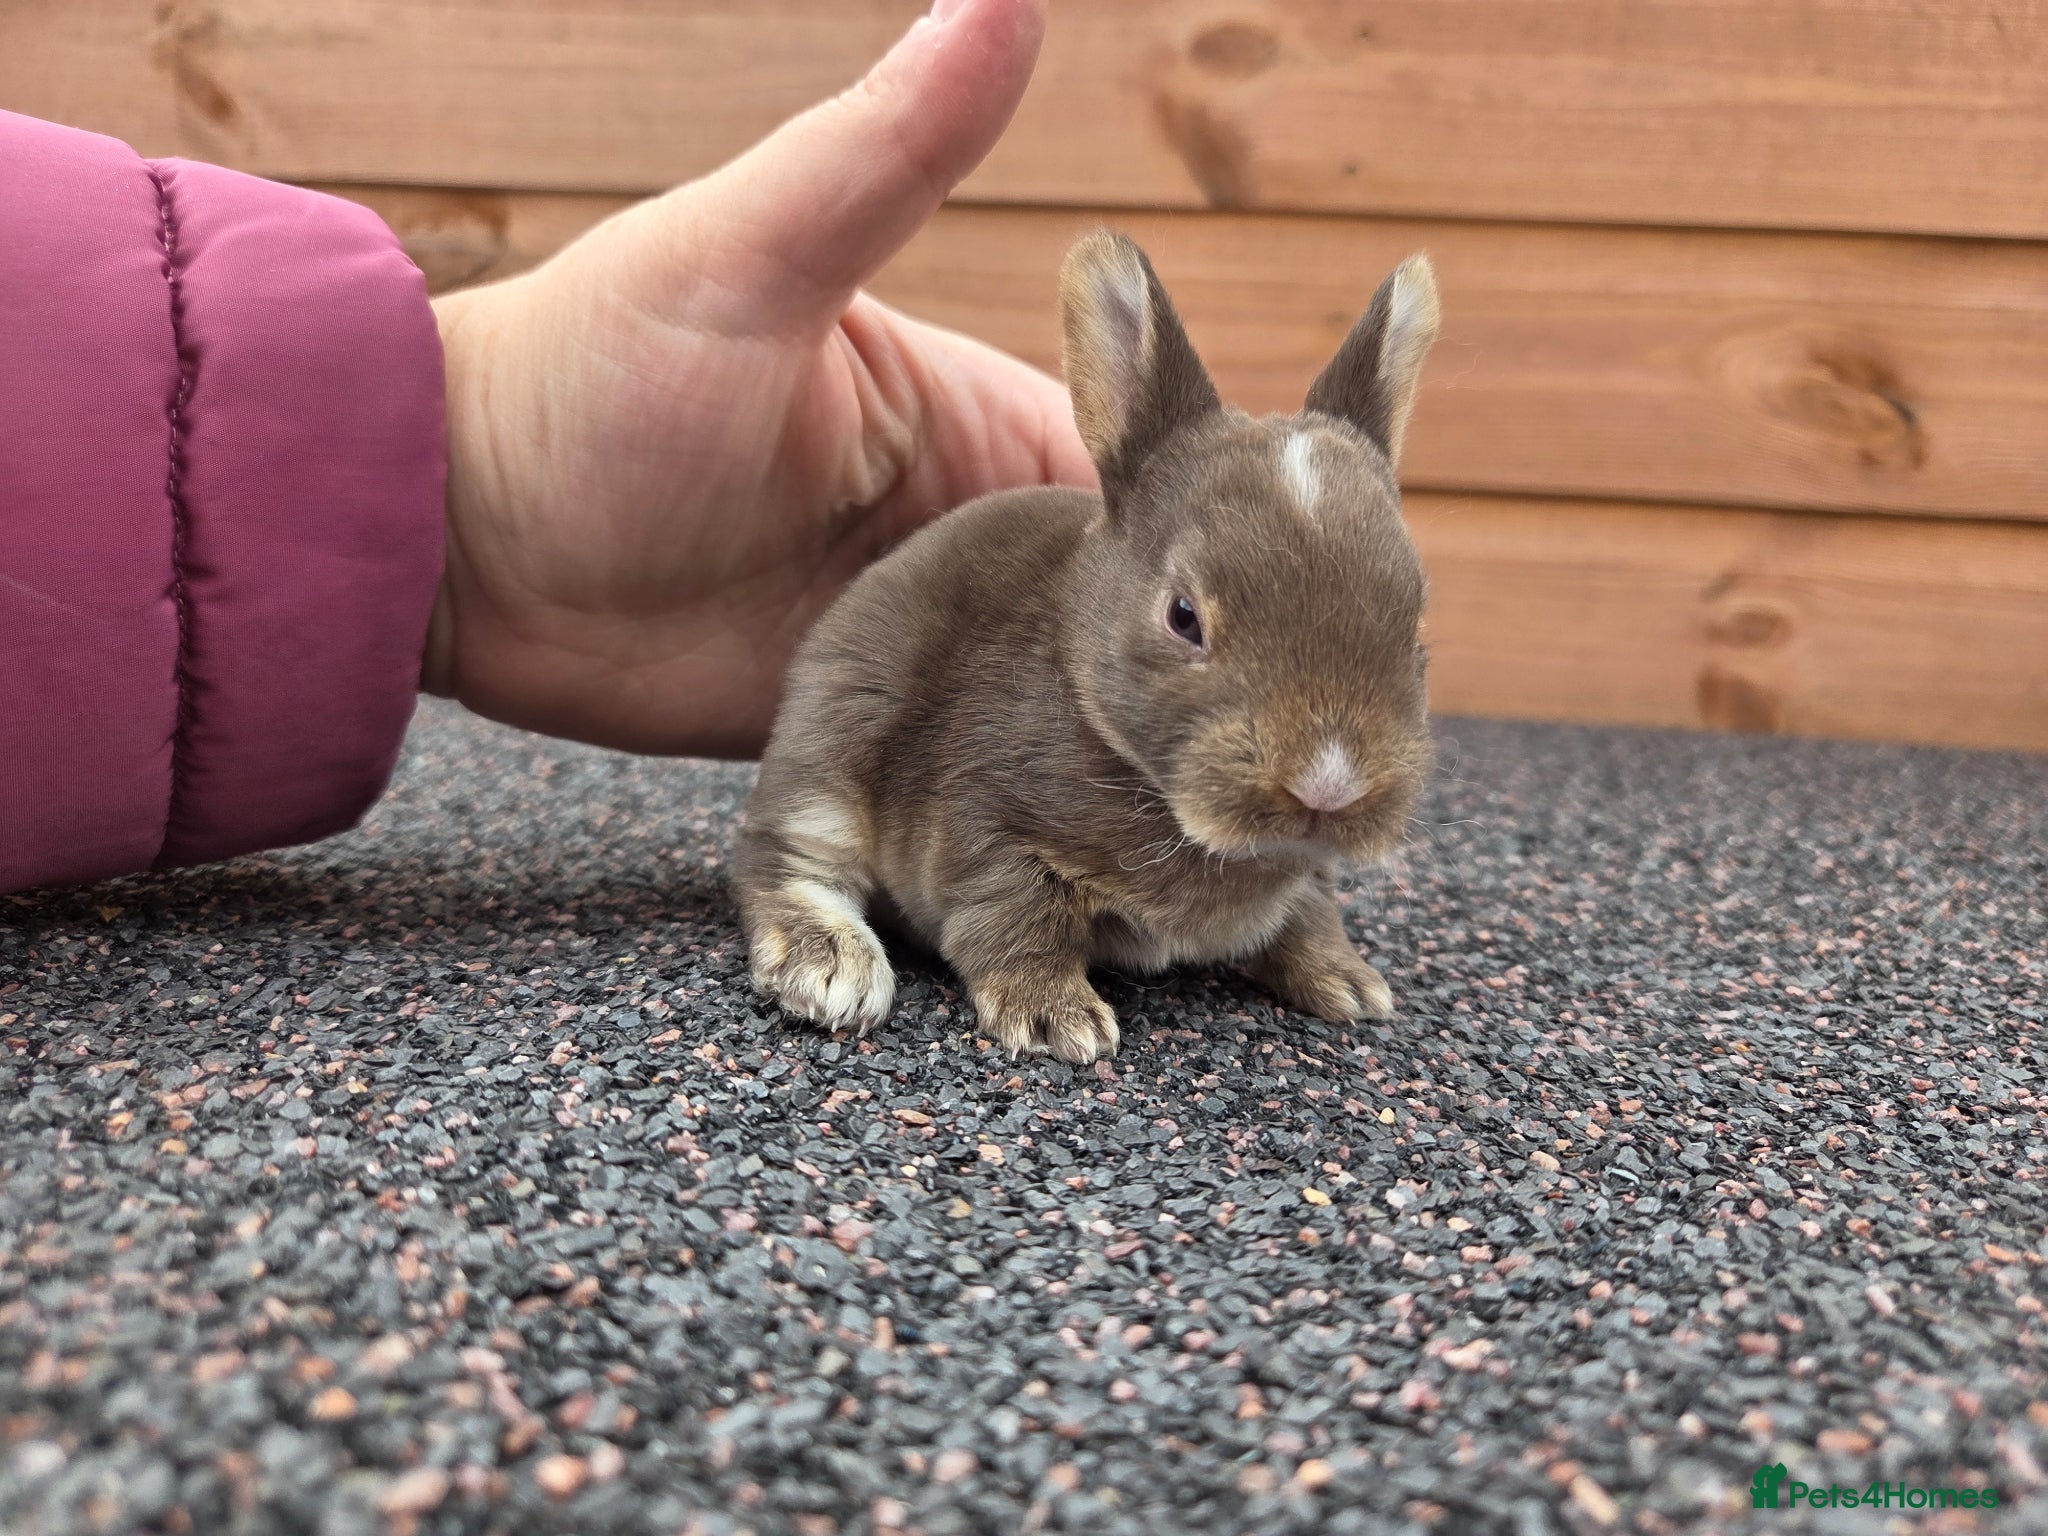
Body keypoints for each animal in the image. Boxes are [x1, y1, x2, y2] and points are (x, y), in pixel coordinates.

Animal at [732, 229, 1439, 1062]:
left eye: (1416, 624)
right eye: (1183, 616)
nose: (1328, 784)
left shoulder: (1307, 877)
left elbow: (1309, 915)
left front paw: (1350, 984)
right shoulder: (990, 828)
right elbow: (1016, 921)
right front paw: (1055, 1019)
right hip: (834, 744)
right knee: (781, 857)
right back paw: (830, 966)